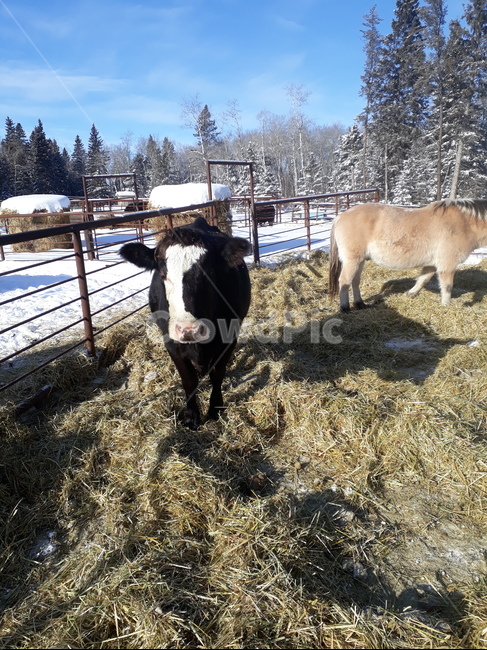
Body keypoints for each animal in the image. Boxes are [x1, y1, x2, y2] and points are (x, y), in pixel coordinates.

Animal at [120, 217, 251, 429]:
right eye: (162, 273)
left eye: (209, 272)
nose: (188, 329)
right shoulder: (171, 341)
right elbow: (188, 380)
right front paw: (191, 416)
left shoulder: (230, 337)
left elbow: (217, 373)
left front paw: (215, 408)